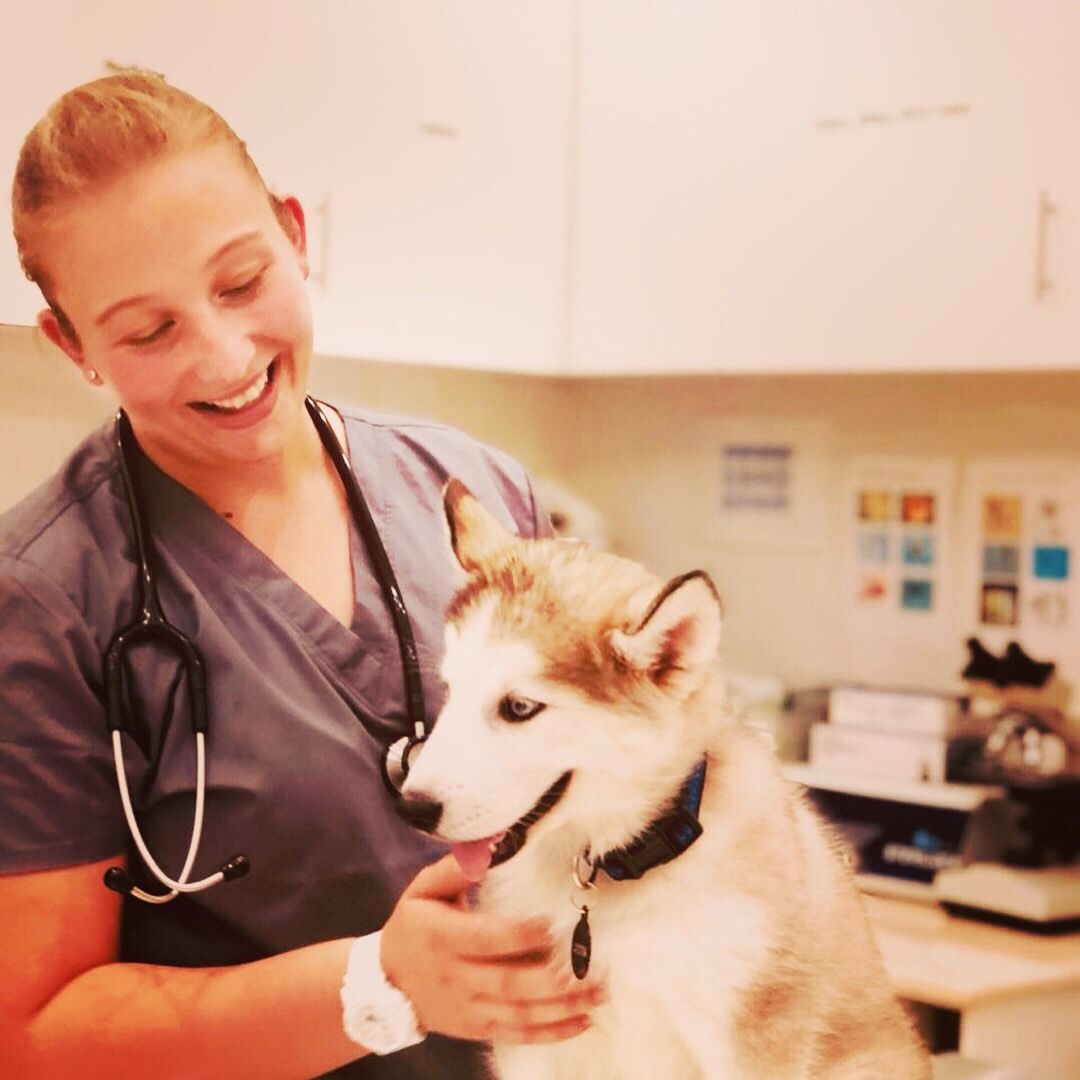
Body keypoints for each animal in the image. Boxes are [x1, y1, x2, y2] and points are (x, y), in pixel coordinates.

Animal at [399, 480, 931, 1079]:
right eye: (451, 689)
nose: (412, 806)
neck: (616, 872)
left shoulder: (752, 1041)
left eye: (518, 707)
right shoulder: (532, 1037)